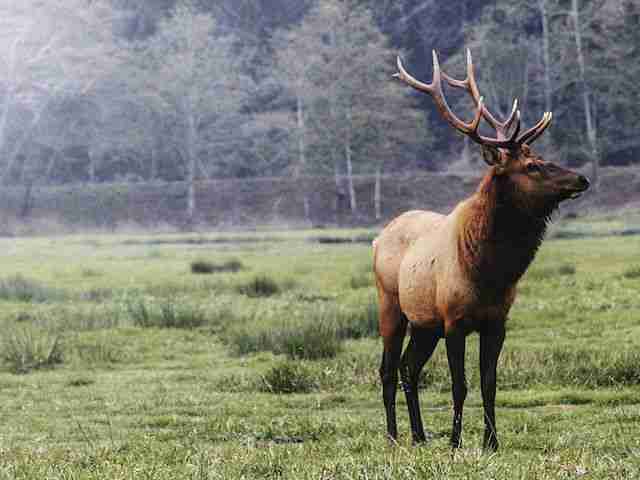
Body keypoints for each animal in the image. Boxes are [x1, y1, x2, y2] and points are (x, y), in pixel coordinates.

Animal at [373, 49, 590, 451]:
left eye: (541, 155)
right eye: (532, 165)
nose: (581, 178)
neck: (488, 273)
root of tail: (378, 238)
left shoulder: (496, 321)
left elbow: (490, 384)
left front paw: (492, 441)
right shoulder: (454, 320)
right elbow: (460, 385)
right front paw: (456, 441)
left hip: (425, 323)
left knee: (410, 367)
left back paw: (420, 435)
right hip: (391, 305)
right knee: (388, 370)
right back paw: (394, 436)